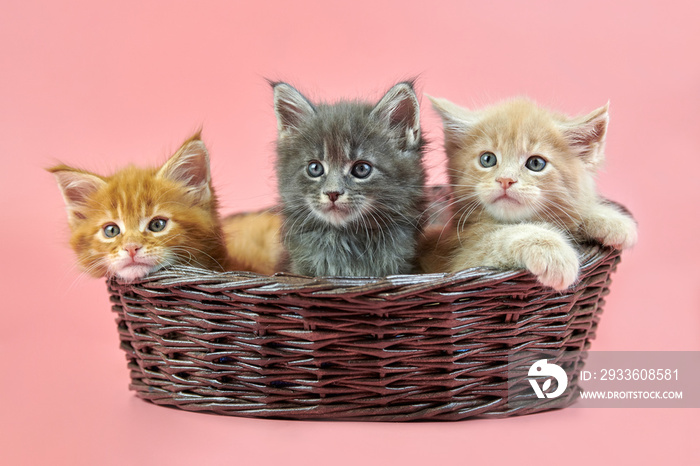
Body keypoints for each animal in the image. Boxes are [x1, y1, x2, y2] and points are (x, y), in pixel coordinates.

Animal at [418, 96, 636, 290]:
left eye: (536, 163)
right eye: (487, 159)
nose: (505, 180)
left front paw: (611, 220)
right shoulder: (461, 262)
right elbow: (496, 238)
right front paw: (552, 250)